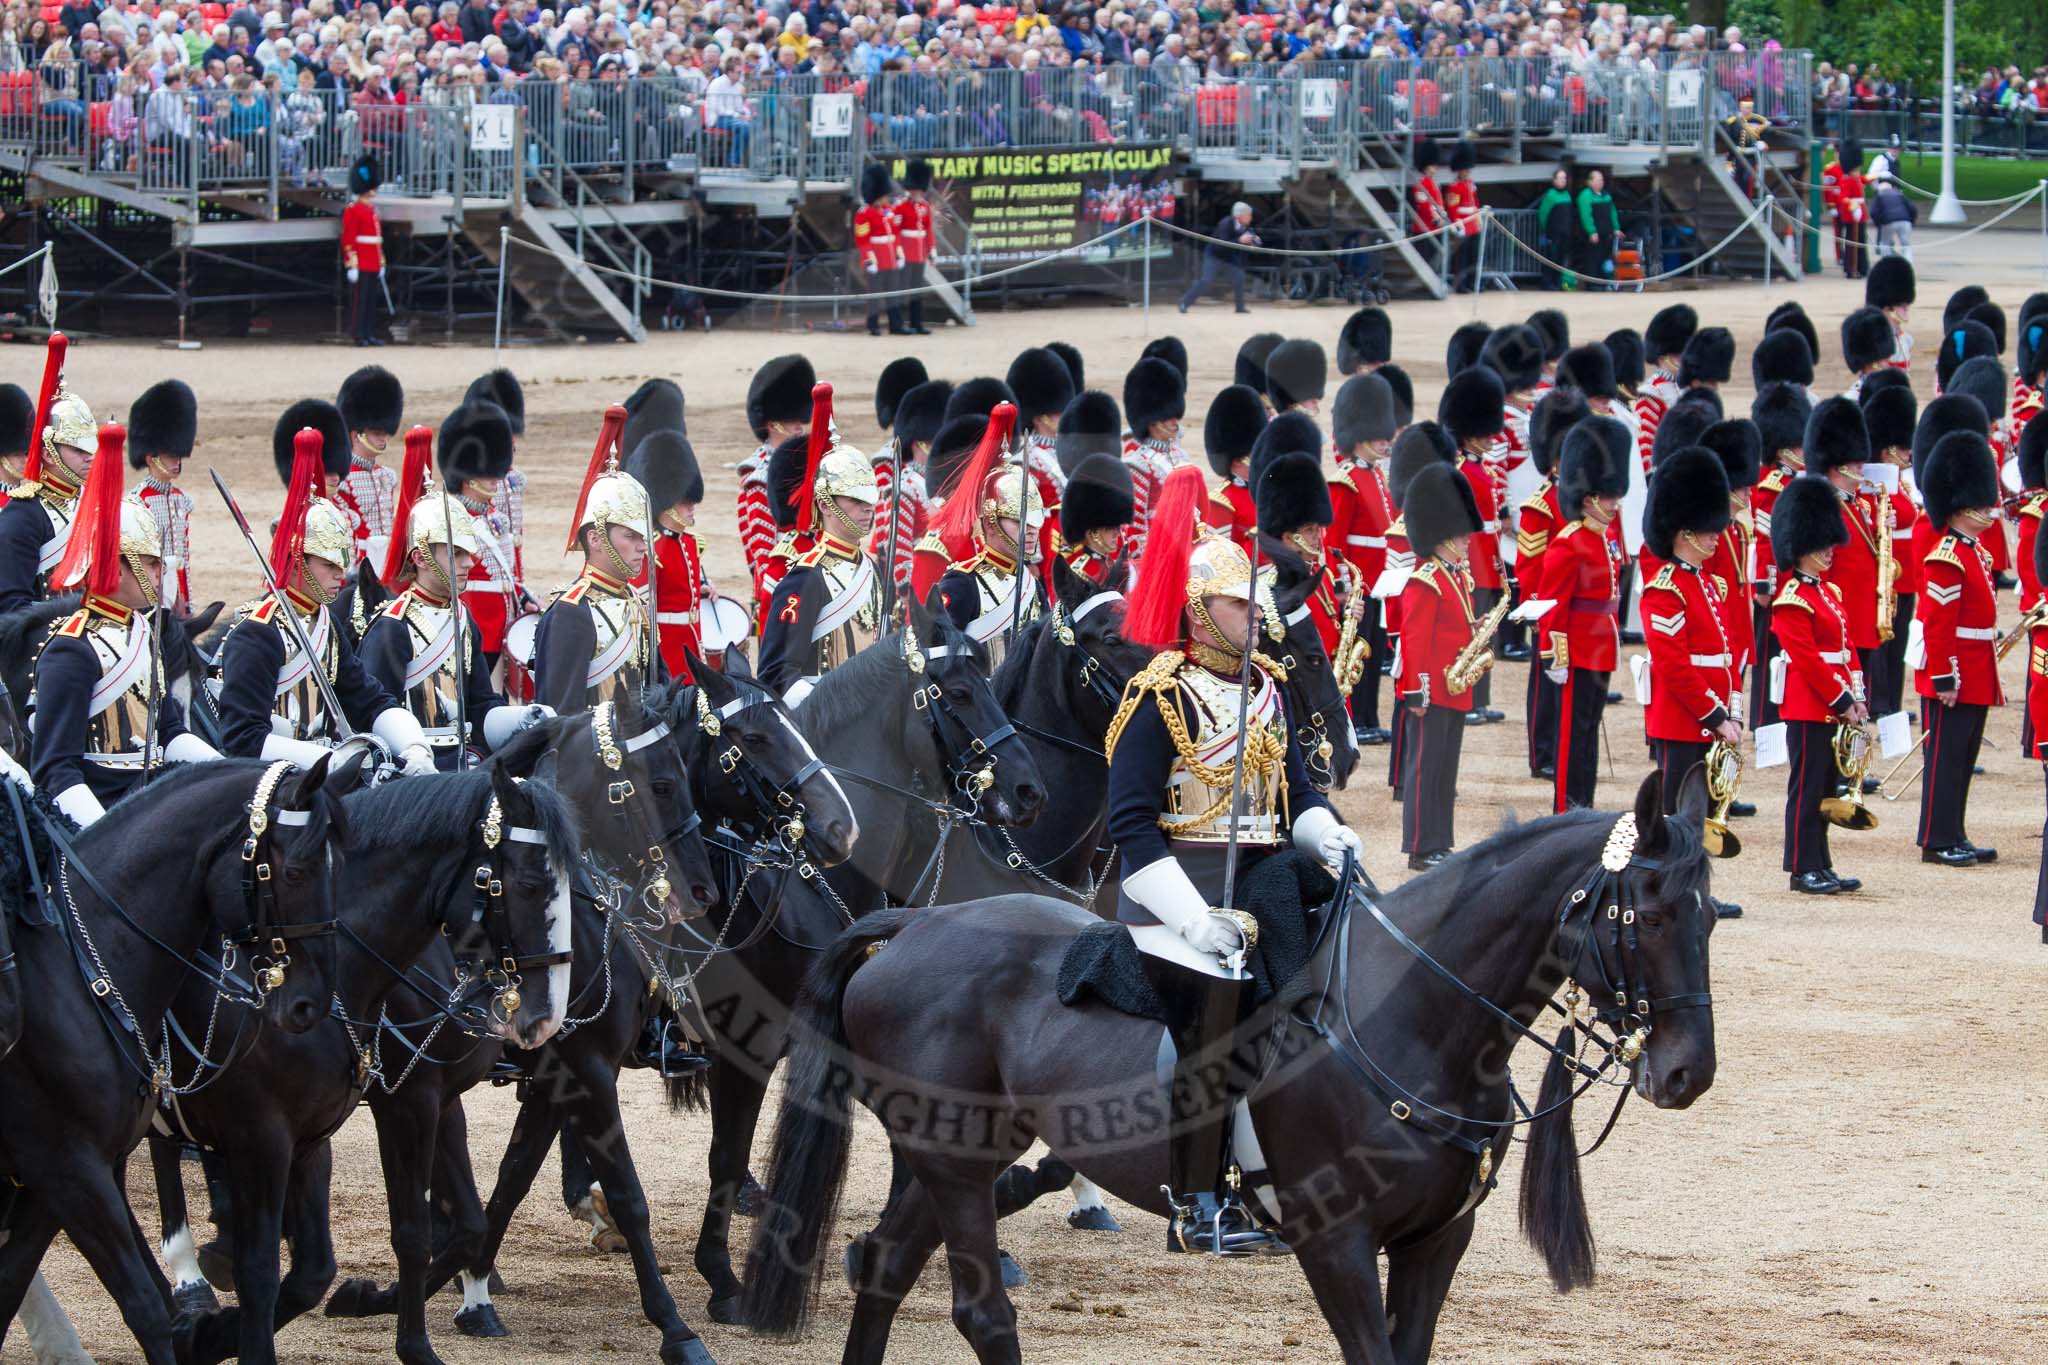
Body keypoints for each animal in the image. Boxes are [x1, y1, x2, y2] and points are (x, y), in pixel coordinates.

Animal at [0, 757, 348, 1365]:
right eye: (297, 871)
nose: (311, 1003)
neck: (77, 964)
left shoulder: (54, 1174)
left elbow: (7, 1284)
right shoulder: (66, 1163)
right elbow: (142, 1305)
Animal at [147, 732, 581, 1365]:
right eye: (527, 884)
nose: (547, 1016)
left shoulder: (426, 1100)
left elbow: (455, 1226)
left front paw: (391, 1306)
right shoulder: (389, 1104)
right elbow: (411, 1231)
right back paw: (190, 1277)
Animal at [745, 773, 1720, 1358]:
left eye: (1711, 914)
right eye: (1644, 914)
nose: (1688, 1075)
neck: (1416, 1019)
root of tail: (914, 923)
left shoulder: (1436, 1239)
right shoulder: (1336, 1242)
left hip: (953, 1156)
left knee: (883, 1263)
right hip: (953, 1161)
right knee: (981, 1310)